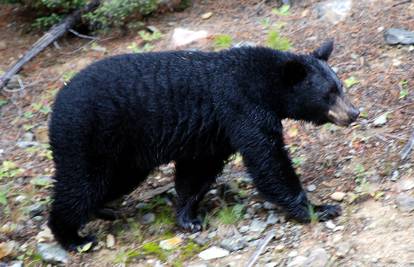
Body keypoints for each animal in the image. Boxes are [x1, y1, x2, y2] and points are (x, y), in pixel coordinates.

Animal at [47, 40, 360, 251]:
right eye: (329, 93)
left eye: (340, 86)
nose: (354, 113)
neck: (266, 85)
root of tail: (57, 101)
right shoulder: (242, 108)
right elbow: (268, 162)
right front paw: (319, 209)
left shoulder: (214, 133)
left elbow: (197, 172)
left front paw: (188, 218)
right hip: (87, 135)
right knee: (82, 184)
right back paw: (73, 237)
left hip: (125, 155)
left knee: (113, 182)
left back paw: (103, 210)